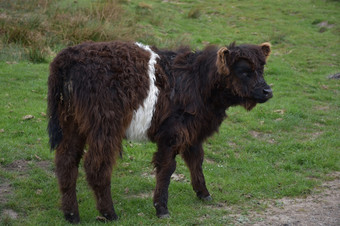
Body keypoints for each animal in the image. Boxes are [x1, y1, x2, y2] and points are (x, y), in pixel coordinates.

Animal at [47, 40, 274, 222]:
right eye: (244, 71)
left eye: (261, 69)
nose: (268, 91)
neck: (197, 82)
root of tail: (69, 55)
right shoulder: (172, 134)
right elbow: (167, 168)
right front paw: (162, 208)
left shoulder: (192, 132)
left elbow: (196, 161)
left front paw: (203, 193)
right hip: (105, 127)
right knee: (96, 166)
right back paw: (109, 213)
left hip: (72, 124)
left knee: (66, 162)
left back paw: (71, 215)